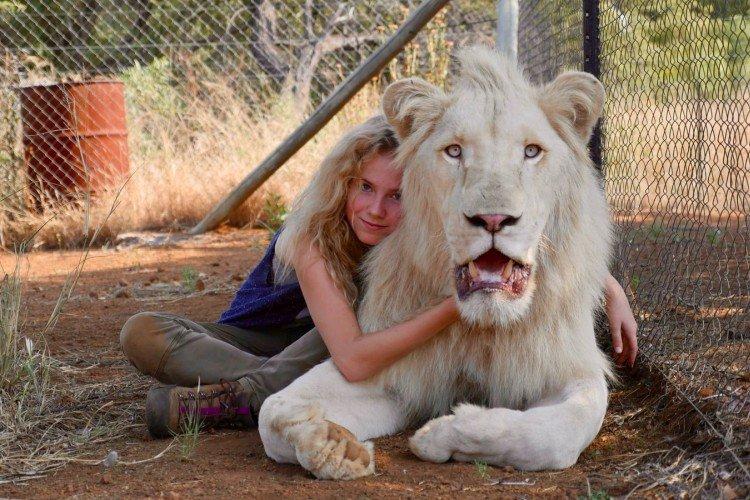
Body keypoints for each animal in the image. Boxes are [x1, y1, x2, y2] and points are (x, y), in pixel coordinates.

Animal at [258, 46, 614, 480]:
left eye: (531, 151)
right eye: (454, 151)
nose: (493, 219)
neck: (482, 327)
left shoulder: (570, 368)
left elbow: (556, 434)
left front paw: (443, 433)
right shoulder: (388, 366)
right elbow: (273, 411)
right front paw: (331, 444)